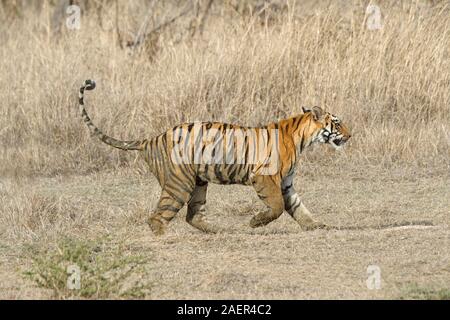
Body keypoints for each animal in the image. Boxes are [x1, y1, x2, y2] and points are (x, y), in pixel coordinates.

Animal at [78, 80, 352, 235]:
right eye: (337, 123)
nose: (351, 135)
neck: (302, 137)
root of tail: (151, 138)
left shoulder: (285, 182)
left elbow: (297, 206)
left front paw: (316, 226)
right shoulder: (264, 177)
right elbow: (277, 206)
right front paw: (255, 223)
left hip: (198, 182)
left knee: (192, 215)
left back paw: (217, 231)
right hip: (179, 184)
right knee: (157, 216)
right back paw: (164, 236)